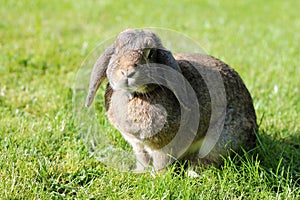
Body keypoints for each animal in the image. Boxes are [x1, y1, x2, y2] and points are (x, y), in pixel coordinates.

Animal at [85, 28, 258, 173]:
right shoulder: (137, 144)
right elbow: (142, 159)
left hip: (217, 140)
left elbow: (161, 162)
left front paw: (157, 176)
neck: (136, 96)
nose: (127, 71)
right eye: (116, 50)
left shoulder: (164, 147)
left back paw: (193, 173)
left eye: (150, 54)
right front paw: (139, 173)